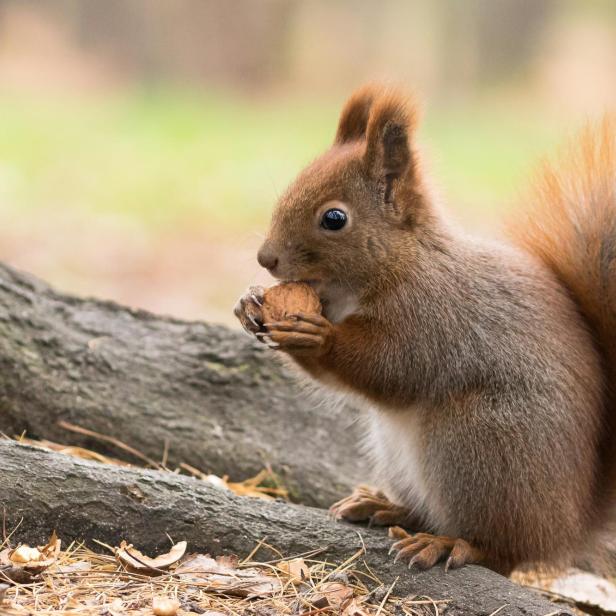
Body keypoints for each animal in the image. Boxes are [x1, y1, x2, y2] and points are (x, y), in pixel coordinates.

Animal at [233, 84, 612, 576]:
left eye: (334, 218)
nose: (266, 259)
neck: (399, 263)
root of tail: (567, 528)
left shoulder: (432, 317)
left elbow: (393, 367)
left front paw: (317, 337)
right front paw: (249, 302)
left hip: (479, 443)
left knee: (502, 550)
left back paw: (453, 544)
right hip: (398, 450)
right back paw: (386, 508)